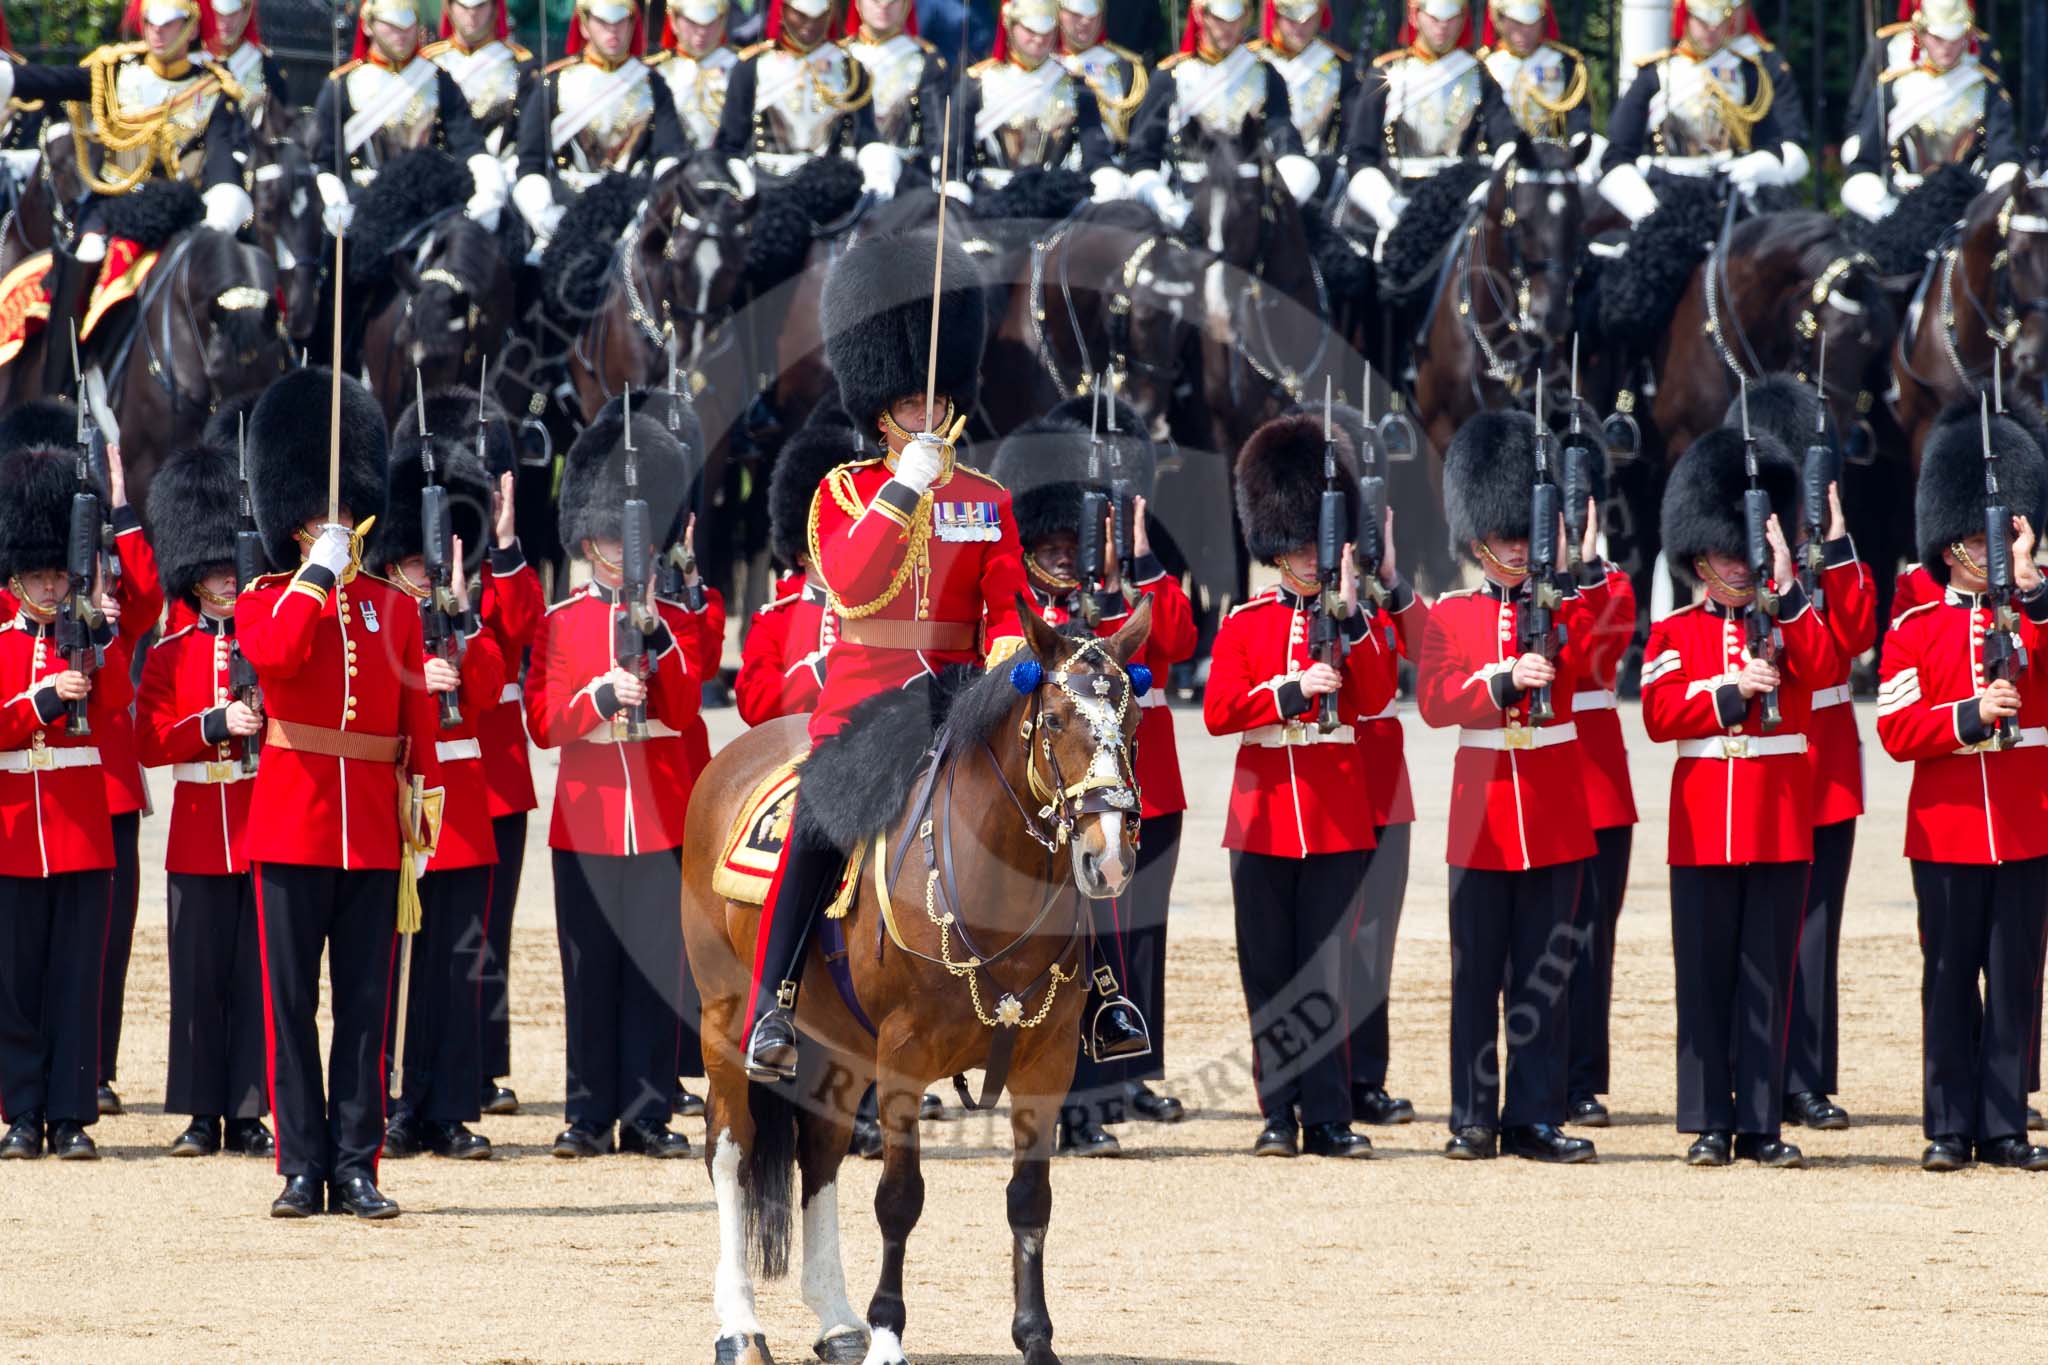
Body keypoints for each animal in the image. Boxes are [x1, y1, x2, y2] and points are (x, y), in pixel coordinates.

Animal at [684, 605, 1155, 1365]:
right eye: (1055, 719)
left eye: (1135, 720)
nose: (1108, 857)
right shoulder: (904, 1055)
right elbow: (899, 1196)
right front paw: (888, 1337)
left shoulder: (1047, 1060)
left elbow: (1031, 1197)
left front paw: (1036, 1338)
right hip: (725, 1015)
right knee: (730, 1147)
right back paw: (741, 1327)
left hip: (840, 1044)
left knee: (820, 1151)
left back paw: (836, 1320)